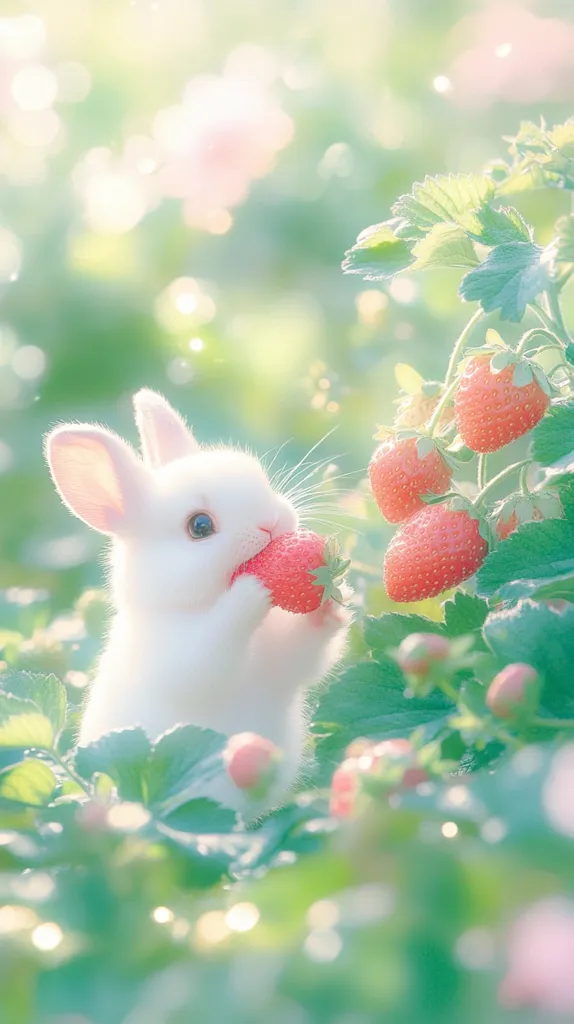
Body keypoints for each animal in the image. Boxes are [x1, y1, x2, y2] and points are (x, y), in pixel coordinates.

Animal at [44, 389, 352, 813]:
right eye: (200, 526)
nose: (271, 521)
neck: (199, 605)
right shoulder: (185, 658)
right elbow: (214, 645)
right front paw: (253, 590)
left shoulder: (283, 663)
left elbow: (305, 653)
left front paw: (332, 606)